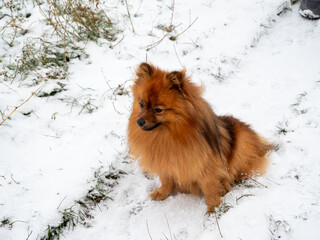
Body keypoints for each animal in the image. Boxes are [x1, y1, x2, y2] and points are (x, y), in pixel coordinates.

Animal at [127, 62, 272, 212]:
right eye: (141, 104)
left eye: (158, 110)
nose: (139, 121)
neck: (166, 135)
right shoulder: (165, 165)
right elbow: (166, 181)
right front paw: (162, 193)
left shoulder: (206, 169)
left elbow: (209, 188)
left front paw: (213, 208)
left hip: (241, 148)